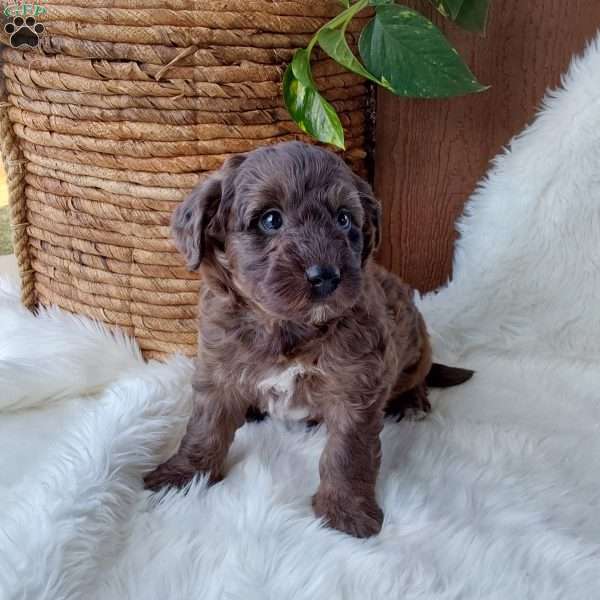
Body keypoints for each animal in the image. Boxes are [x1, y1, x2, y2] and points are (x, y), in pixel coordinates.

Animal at [145, 142, 474, 540]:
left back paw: (411, 401)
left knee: (418, 375)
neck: (288, 327)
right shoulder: (218, 368)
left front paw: (346, 511)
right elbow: (204, 429)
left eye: (344, 219)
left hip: (416, 345)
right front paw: (182, 474)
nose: (326, 276)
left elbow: (347, 453)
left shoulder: (356, 386)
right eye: (270, 220)